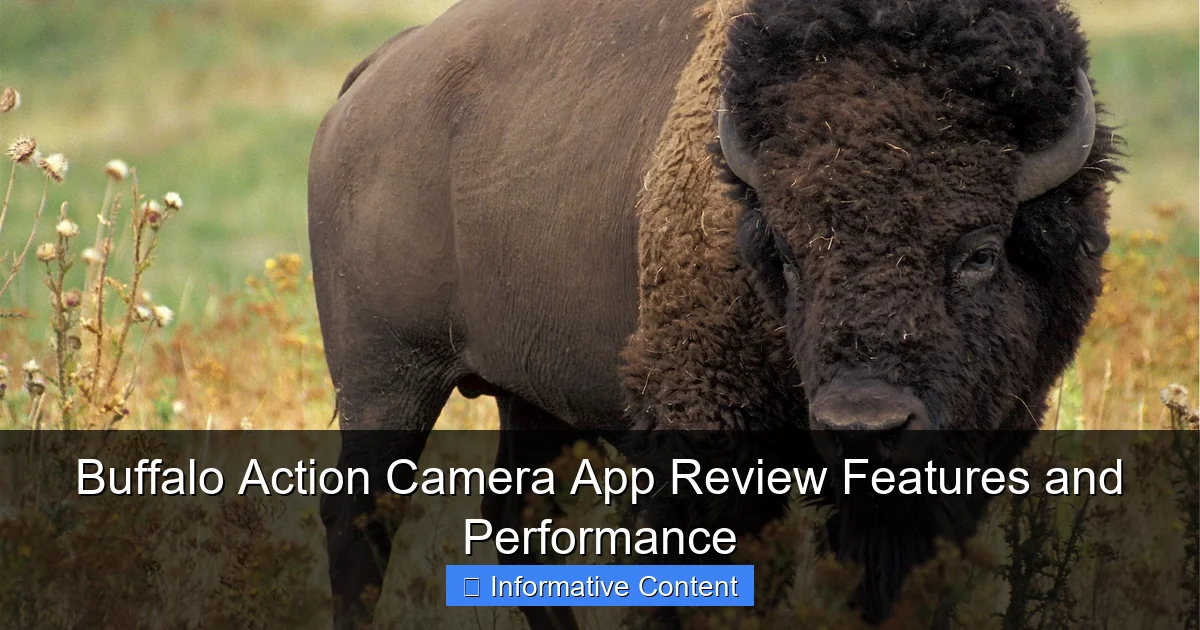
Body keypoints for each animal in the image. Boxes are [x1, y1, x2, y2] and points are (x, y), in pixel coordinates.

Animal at [307, 0, 1119, 627]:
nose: (865, 423)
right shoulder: (706, 447)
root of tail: (370, 79)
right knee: (360, 522)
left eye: (979, 252)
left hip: (532, 404)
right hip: (388, 381)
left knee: (517, 525)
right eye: (785, 254)